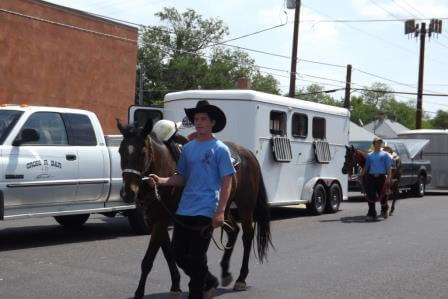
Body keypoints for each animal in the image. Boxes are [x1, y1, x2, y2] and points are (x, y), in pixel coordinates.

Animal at [116, 120, 272, 299]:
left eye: (142, 153)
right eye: (120, 151)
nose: (127, 193)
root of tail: (248, 153)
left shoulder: (161, 221)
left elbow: (148, 260)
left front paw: (139, 293)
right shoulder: (157, 220)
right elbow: (169, 253)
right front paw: (177, 285)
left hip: (246, 206)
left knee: (247, 235)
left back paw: (241, 279)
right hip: (223, 210)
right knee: (233, 230)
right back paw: (225, 273)